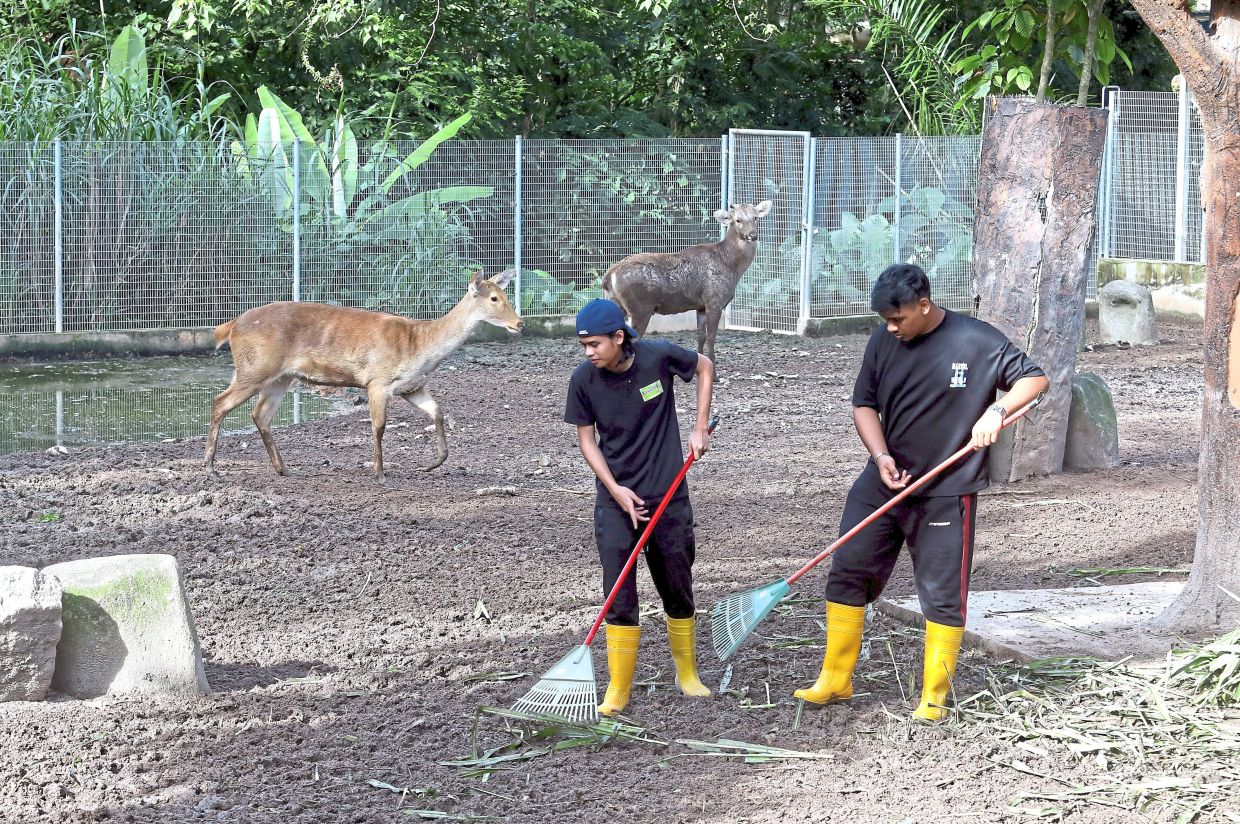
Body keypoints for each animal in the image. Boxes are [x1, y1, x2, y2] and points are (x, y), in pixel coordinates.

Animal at [204, 269, 523, 483]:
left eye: (506, 295)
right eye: (494, 298)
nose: (519, 323)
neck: (420, 346)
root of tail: (230, 326)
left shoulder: (412, 387)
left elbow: (438, 412)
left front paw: (432, 464)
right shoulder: (377, 381)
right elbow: (378, 427)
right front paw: (380, 474)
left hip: (280, 377)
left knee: (260, 414)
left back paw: (283, 468)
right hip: (255, 368)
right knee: (220, 401)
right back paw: (210, 466)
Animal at [601, 200, 772, 367]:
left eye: (755, 217)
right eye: (737, 220)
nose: (752, 235)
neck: (730, 265)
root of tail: (608, 277)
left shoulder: (700, 305)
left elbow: (700, 336)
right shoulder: (714, 299)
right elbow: (711, 337)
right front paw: (713, 370)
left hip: (617, 305)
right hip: (640, 308)